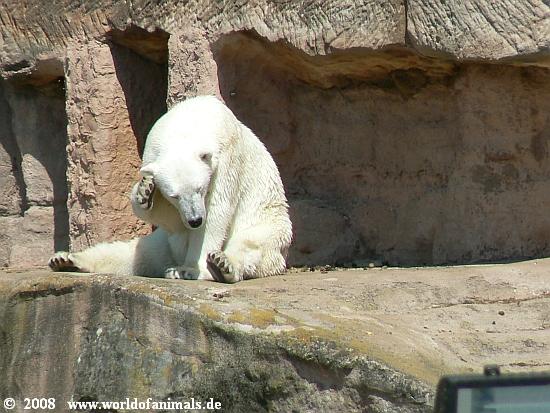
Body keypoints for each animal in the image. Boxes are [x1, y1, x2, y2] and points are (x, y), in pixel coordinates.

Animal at [49, 95, 292, 283]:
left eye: (200, 189)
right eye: (174, 196)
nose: (195, 220)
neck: (188, 125)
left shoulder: (227, 158)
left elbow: (217, 211)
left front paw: (192, 269)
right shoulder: (152, 153)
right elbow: (171, 219)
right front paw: (145, 192)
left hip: (270, 224)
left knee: (251, 245)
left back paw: (220, 266)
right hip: (163, 243)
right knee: (128, 254)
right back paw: (66, 260)